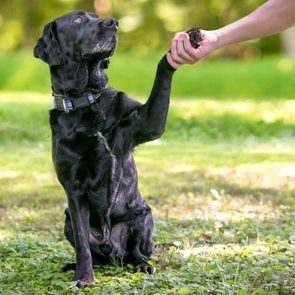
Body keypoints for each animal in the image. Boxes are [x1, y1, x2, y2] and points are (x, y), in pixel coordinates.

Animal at [34, 11, 178, 290]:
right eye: (78, 20)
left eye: (96, 16)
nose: (113, 22)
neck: (86, 100)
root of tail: (114, 252)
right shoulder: (74, 190)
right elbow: (82, 244)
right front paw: (83, 276)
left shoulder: (147, 122)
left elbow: (160, 78)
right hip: (66, 220)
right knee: (93, 251)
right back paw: (74, 265)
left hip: (143, 217)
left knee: (140, 252)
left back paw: (143, 265)